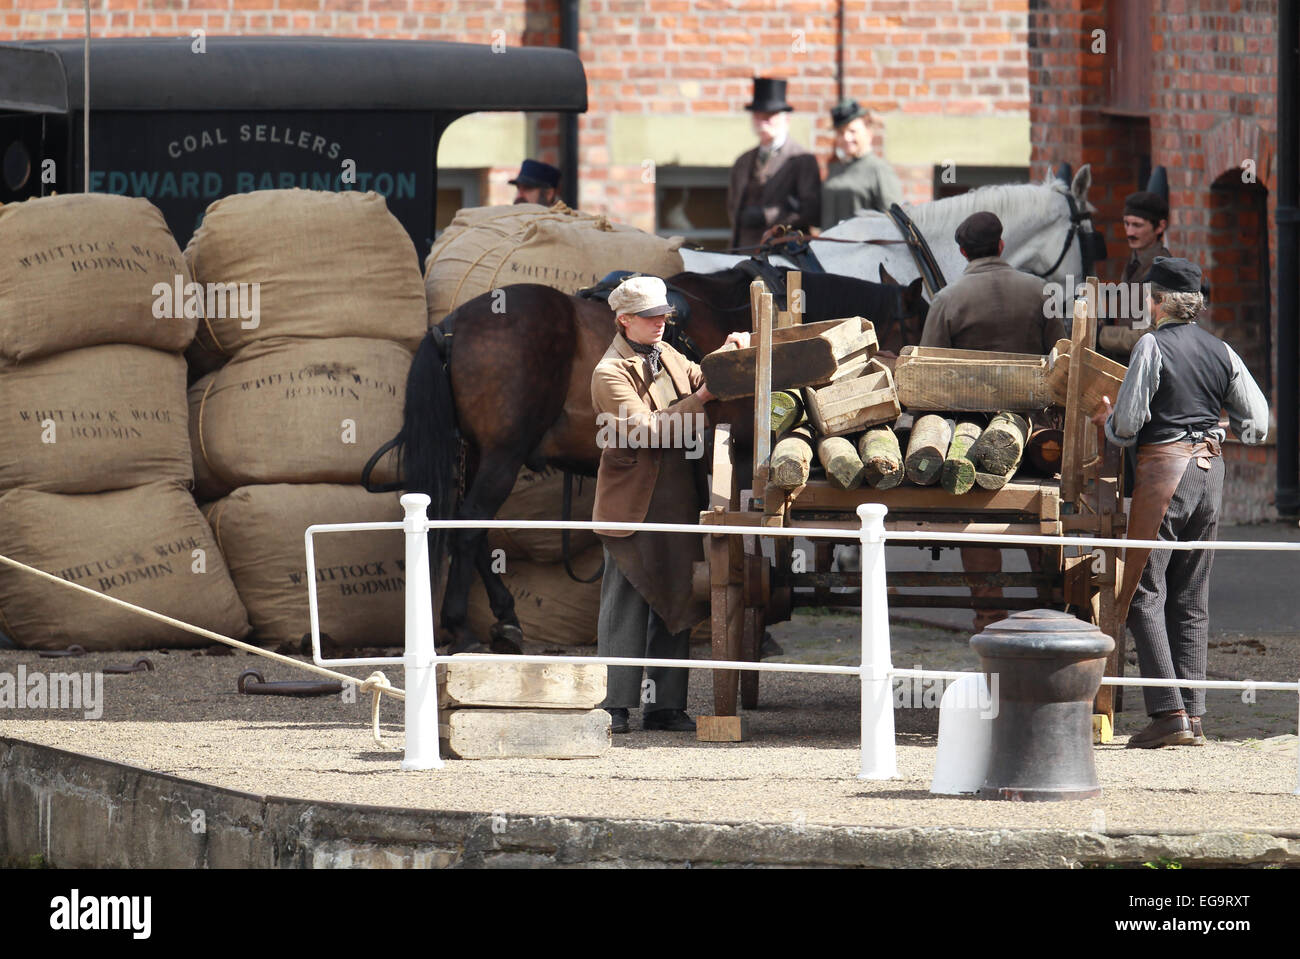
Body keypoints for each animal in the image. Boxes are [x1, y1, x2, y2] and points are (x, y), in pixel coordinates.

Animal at [369, 263, 925, 649]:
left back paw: (499, 619)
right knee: (467, 529)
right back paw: (466, 628)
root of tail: (450, 327)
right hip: (502, 456)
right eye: (912, 320)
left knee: (468, 529)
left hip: (478, 455)